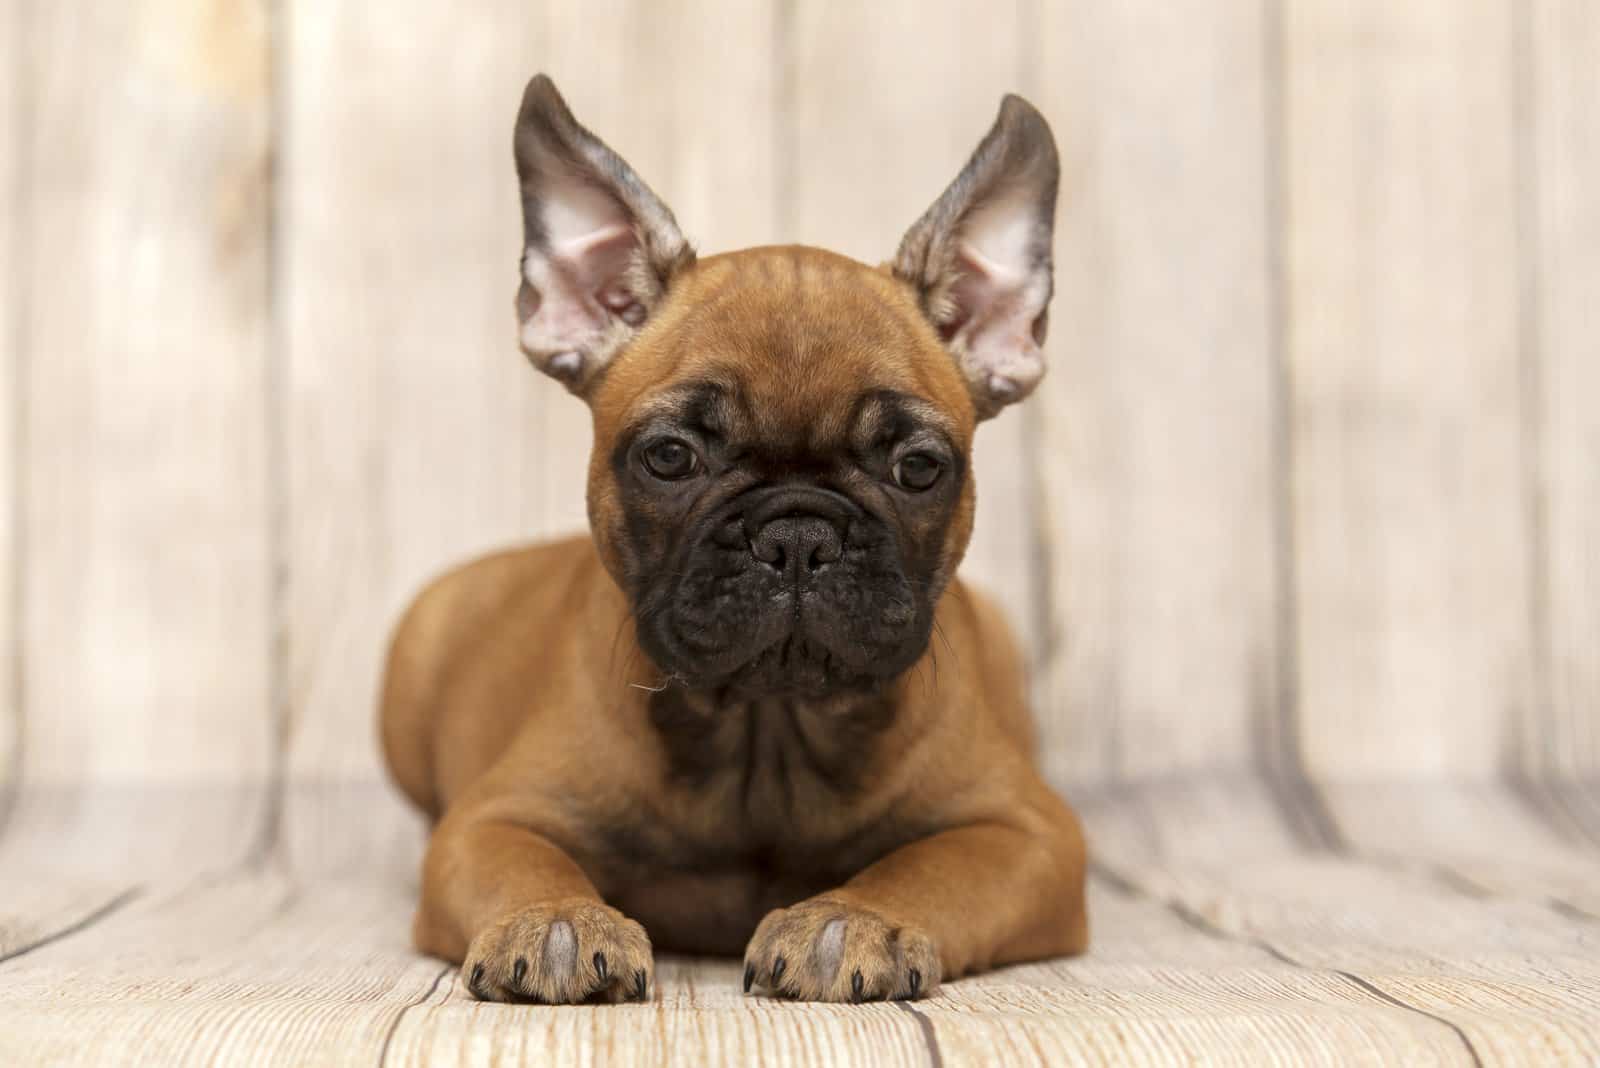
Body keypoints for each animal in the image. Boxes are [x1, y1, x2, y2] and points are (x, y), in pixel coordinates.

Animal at [377, 73, 1088, 1004]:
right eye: (670, 456)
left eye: (919, 468)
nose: (798, 535)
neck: (767, 726)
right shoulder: (492, 819)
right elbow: (524, 864)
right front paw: (558, 919)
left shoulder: (1031, 833)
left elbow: (931, 868)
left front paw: (851, 917)